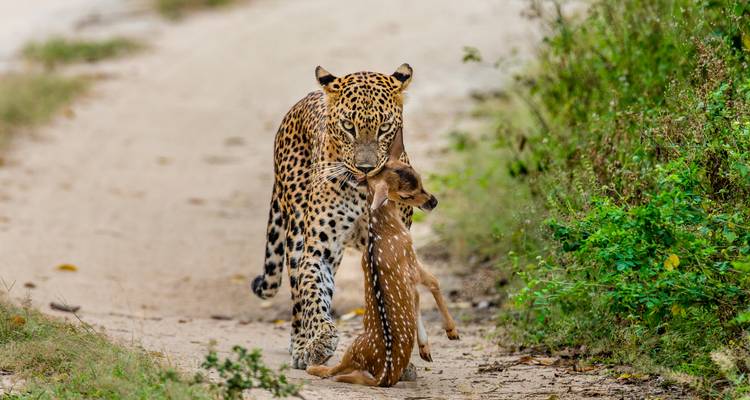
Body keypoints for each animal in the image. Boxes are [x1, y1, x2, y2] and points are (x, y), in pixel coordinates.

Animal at [250, 64, 415, 369]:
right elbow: (314, 293)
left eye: (384, 128)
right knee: (298, 296)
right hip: (297, 232)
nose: (366, 168)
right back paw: (301, 345)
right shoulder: (320, 250)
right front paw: (320, 341)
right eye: (348, 127)